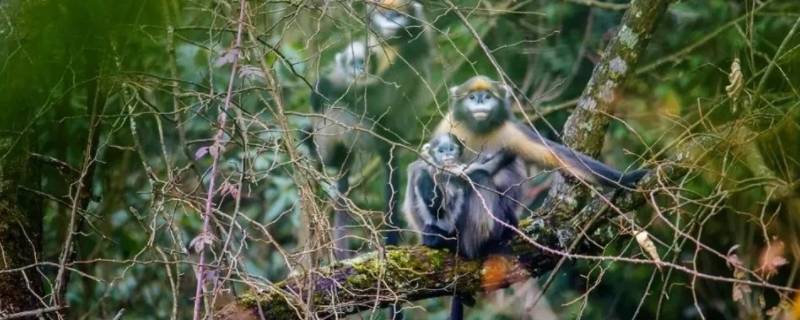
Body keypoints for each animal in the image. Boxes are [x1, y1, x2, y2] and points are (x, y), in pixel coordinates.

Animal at [310, 0, 434, 260]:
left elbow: (379, 98)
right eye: (384, 13)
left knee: (336, 107)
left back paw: (327, 157)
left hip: (362, 132)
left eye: (398, 14)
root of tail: (390, 140)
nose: (391, 22)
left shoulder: (414, 47)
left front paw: (322, 86)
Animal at [404, 133, 520, 320]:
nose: (447, 155)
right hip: (462, 238)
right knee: (479, 177)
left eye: (451, 149)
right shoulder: (431, 170)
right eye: (441, 151)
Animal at [434, 76, 648, 189]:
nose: (479, 100)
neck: (479, 129)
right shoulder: (448, 125)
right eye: (472, 97)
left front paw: (626, 178)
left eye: (487, 96)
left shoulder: (512, 132)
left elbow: (557, 155)